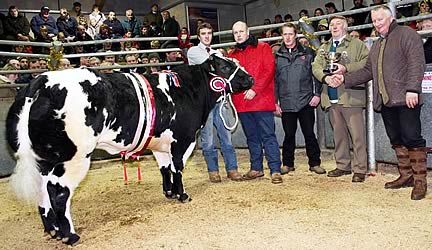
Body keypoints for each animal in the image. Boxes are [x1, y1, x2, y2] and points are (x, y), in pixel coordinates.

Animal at [5, 55, 253, 246]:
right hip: (73, 158)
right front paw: (183, 195)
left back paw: (53, 230)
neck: (189, 91)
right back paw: (70, 236)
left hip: (44, 159)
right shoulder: (182, 140)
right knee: (58, 193)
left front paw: (170, 192)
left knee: (41, 189)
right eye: (226, 67)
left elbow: (165, 169)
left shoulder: (159, 142)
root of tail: (41, 80)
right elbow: (178, 168)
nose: (250, 78)